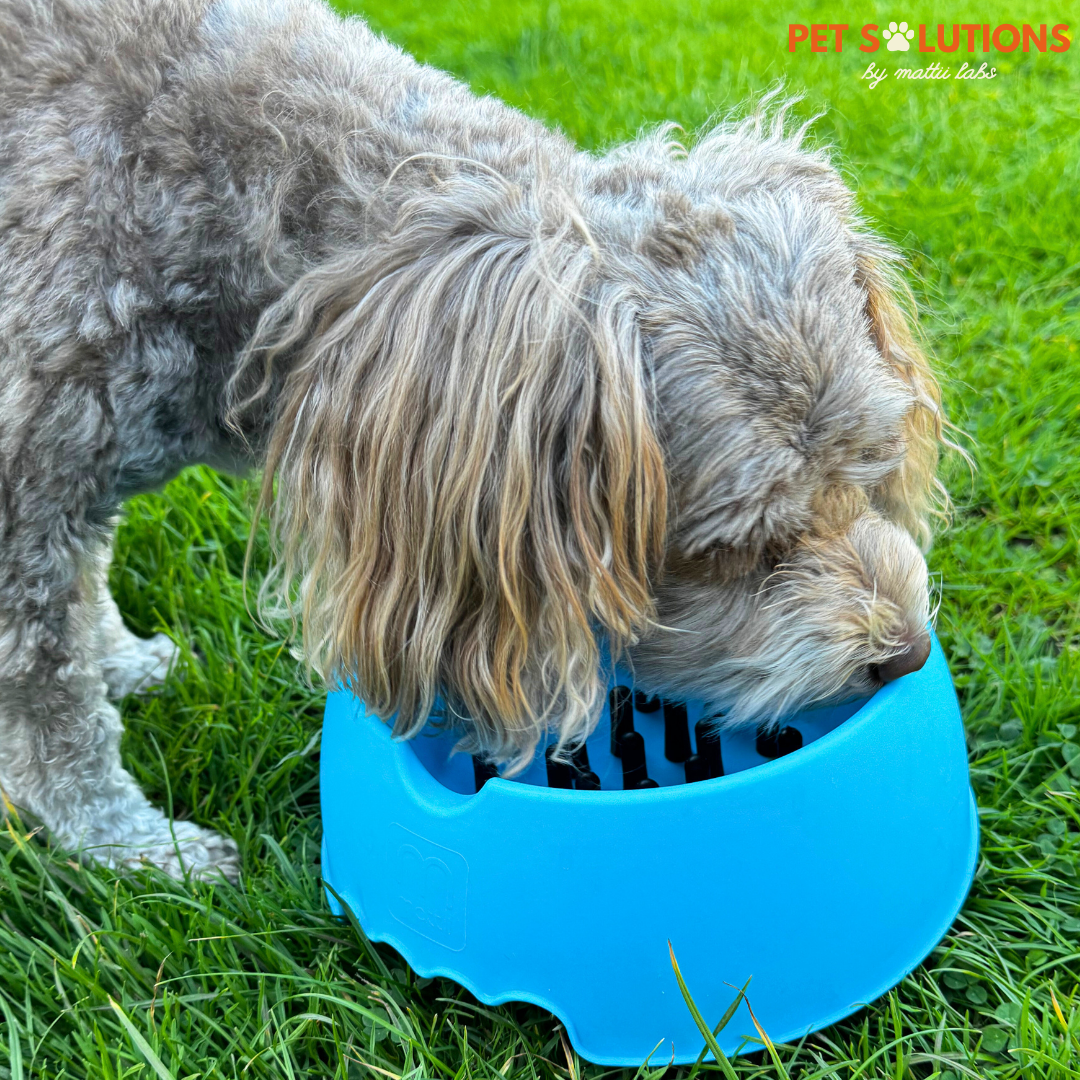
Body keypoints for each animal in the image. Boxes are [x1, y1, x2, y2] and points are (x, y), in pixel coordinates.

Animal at [0, 0, 946, 881]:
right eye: (738, 552)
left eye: (866, 480)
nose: (905, 654)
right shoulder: (23, 492)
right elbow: (52, 702)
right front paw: (129, 848)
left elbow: (86, 591)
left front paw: (121, 661)